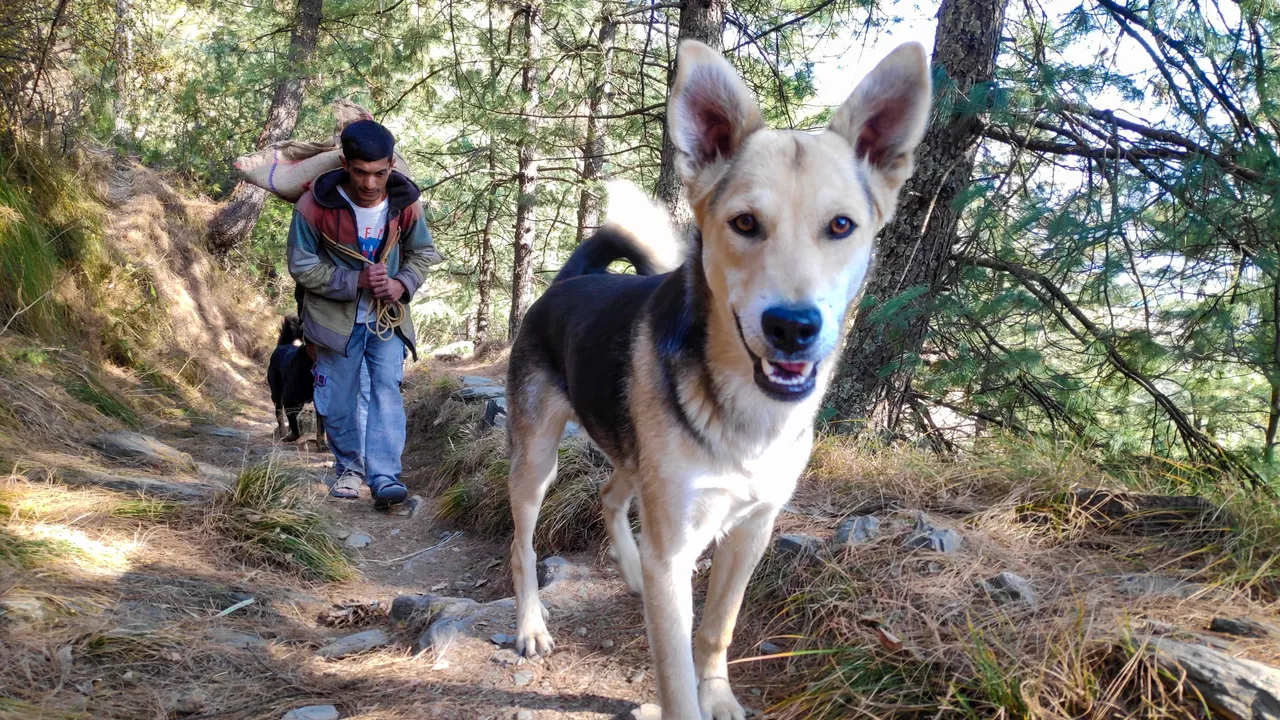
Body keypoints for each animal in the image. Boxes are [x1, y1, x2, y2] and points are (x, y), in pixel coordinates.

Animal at [263, 315, 322, 448]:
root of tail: (283, 345)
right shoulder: (289, 400)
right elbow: (296, 429)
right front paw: (289, 437)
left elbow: (321, 428)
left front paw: (322, 445)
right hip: (277, 393)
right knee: (279, 413)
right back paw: (283, 432)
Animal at [499, 39, 931, 717]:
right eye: (745, 223)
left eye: (841, 226)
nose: (792, 326)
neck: (749, 415)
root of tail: (569, 282)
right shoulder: (676, 547)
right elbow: (674, 673)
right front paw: (691, 696)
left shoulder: (751, 530)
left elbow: (715, 628)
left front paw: (720, 694)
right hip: (537, 460)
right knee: (523, 545)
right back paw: (531, 626)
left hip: (633, 455)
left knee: (610, 497)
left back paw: (629, 571)